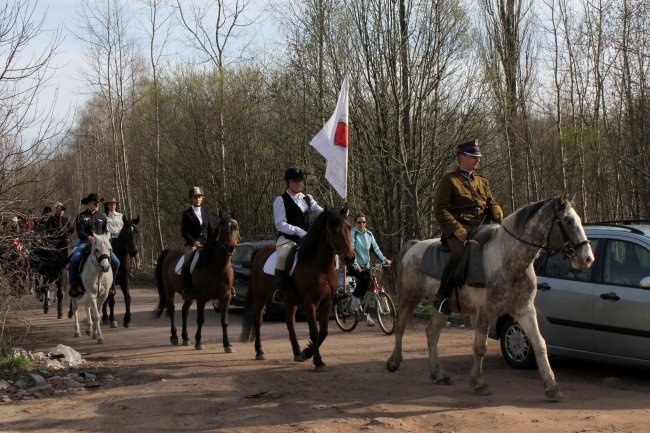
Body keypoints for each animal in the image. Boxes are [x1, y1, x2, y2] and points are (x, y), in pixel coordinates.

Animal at [153, 212, 239, 352]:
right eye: (222, 229)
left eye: (236, 228)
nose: (230, 247)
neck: (217, 267)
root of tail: (170, 251)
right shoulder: (202, 298)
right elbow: (200, 319)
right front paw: (199, 342)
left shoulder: (225, 297)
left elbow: (224, 321)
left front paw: (227, 345)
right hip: (169, 290)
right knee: (171, 310)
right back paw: (174, 337)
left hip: (190, 296)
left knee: (184, 311)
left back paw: (186, 338)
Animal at [239, 203, 354, 372]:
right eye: (334, 230)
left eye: (349, 227)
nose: (350, 257)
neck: (320, 267)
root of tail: (259, 250)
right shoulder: (309, 302)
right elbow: (314, 332)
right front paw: (318, 362)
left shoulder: (327, 302)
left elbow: (324, 332)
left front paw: (307, 352)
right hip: (260, 295)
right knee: (258, 319)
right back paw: (259, 351)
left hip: (289, 299)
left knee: (290, 322)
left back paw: (297, 352)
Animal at [384, 194, 592, 400]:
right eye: (568, 220)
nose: (587, 258)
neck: (507, 259)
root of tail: (414, 246)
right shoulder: (485, 312)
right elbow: (480, 347)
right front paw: (479, 383)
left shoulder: (524, 309)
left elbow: (539, 344)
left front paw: (551, 386)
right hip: (410, 298)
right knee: (400, 326)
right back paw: (394, 362)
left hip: (441, 306)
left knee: (432, 333)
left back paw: (439, 374)